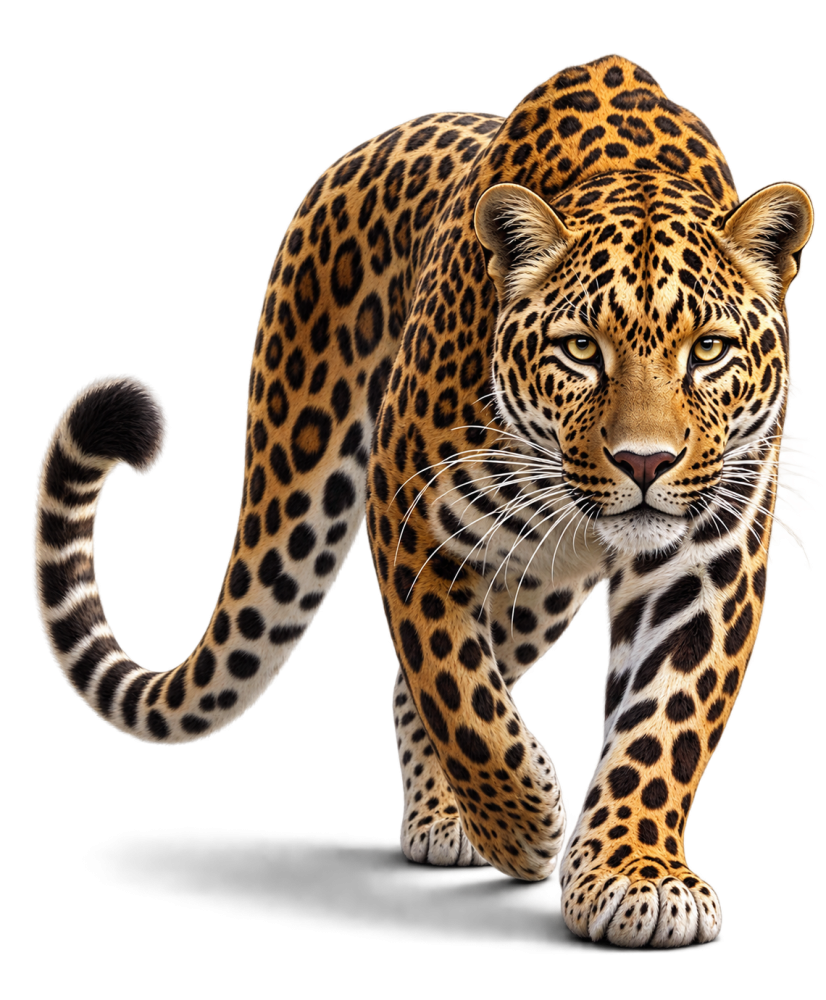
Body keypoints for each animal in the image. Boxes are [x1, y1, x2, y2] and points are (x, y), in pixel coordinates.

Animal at [32, 52, 815, 947]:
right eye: (581, 350)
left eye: (709, 351)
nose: (644, 462)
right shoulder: (413, 519)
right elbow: (457, 690)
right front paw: (524, 824)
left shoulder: (706, 556)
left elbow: (667, 720)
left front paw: (636, 874)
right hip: (303, 478)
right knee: (420, 679)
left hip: (543, 580)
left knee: (425, 684)